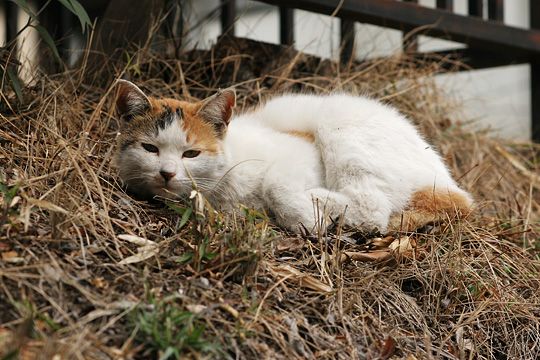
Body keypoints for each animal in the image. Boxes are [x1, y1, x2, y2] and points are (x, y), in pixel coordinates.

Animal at [114, 79, 472, 233]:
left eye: (191, 153)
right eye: (150, 148)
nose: (167, 173)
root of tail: (450, 184)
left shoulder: (301, 152)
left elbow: (277, 185)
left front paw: (306, 219)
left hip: (338, 125)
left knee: (372, 210)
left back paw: (321, 203)